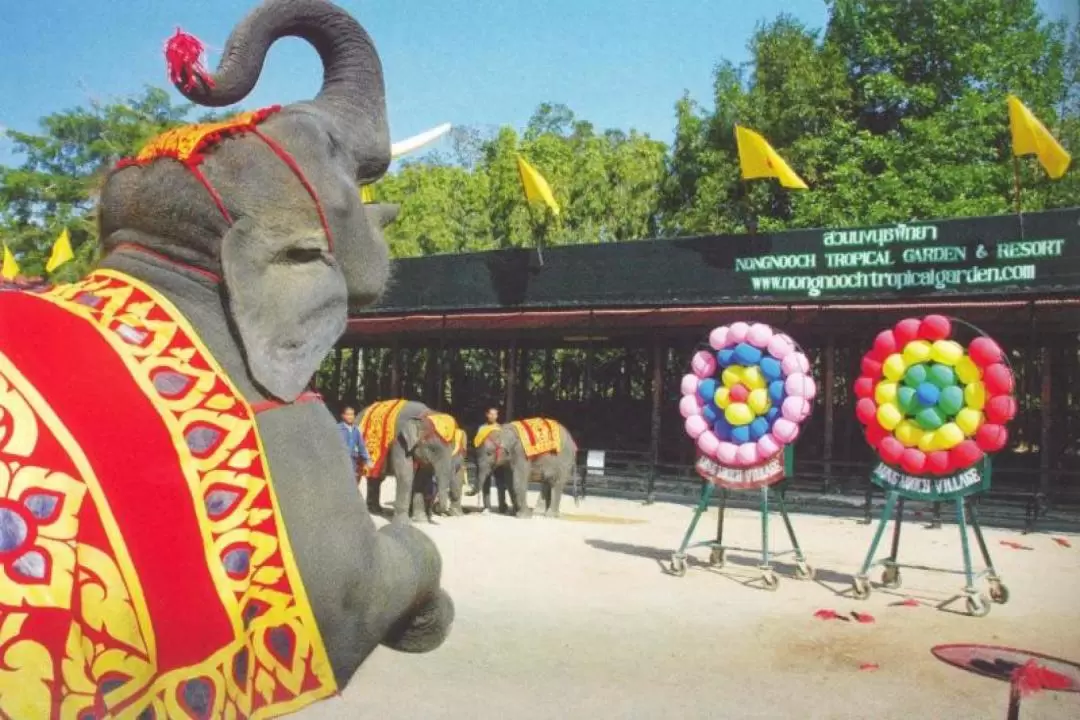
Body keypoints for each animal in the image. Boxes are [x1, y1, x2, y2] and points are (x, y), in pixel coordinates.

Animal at [0, 2, 451, 716]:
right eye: (330, 148)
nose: (200, 70)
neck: (176, 265)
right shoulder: (294, 434)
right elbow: (354, 599)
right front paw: (424, 620)